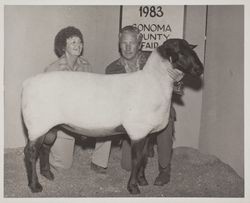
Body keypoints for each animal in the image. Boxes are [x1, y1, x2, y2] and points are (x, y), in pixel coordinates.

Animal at [21, 49, 174, 141]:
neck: (154, 81)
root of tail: (26, 83)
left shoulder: (147, 132)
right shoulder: (137, 130)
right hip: (37, 125)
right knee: (30, 154)